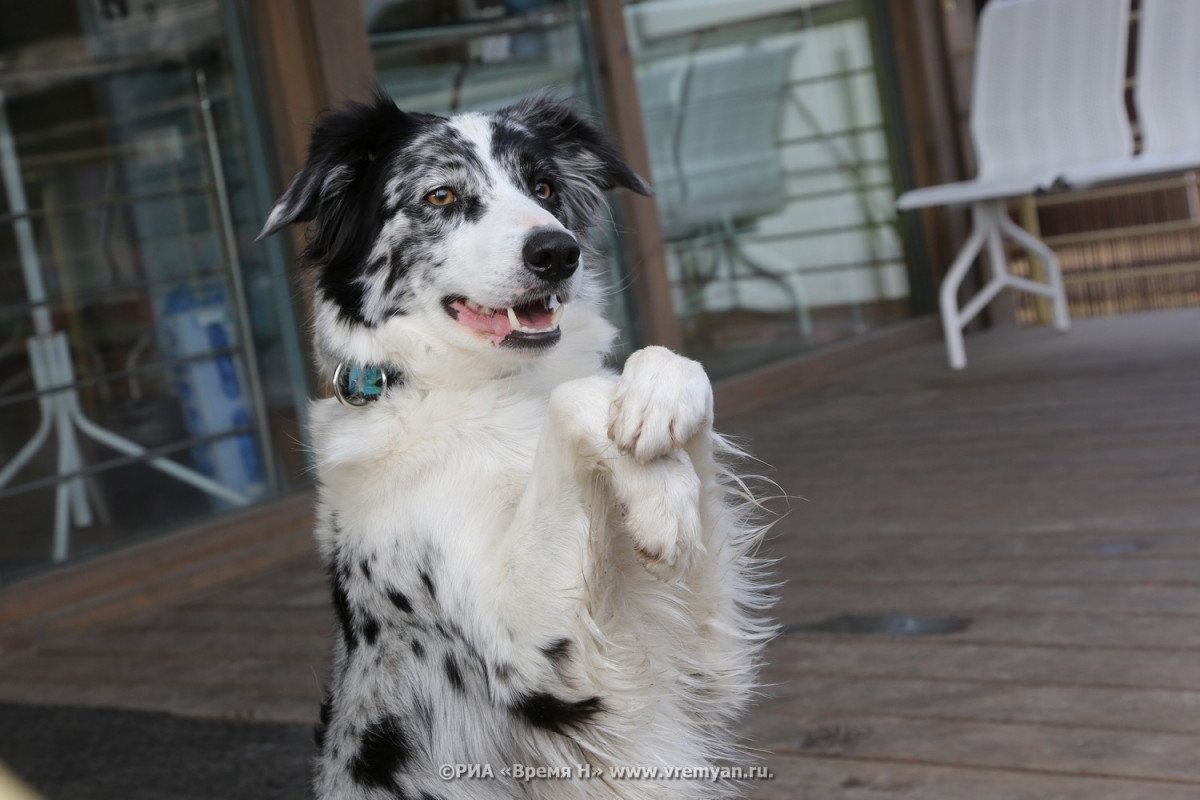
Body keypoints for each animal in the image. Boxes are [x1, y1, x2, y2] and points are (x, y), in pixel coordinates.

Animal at [259, 90, 772, 796]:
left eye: (545, 187)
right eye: (442, 195)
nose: (557, 251)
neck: (490, 392)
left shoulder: (702, 663)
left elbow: (672, 369)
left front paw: (658, 424)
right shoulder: (530, 651)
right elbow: (574, 398)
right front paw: (661, 492)